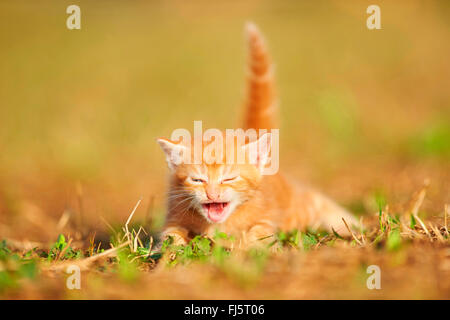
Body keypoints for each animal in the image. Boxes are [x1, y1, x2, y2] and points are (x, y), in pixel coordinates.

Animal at [156, 22, 356, 248]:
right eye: (198, 180)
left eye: (229, 178)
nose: (212, 194)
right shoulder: (173, 212)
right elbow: (170, 235)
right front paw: (173, 249)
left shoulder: (266, 217)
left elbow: (259, 233)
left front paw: (246, 247)